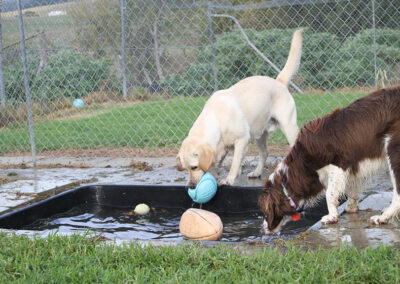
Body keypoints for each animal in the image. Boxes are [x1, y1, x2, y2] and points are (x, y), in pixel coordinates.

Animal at [177, 30, 302, 187]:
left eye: (194, 167)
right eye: (185, 168)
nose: (190, 186)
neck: (216, 119)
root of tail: (279, 81)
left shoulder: (242, 140)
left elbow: (235, 163)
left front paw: (229, 179)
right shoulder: (222, 148)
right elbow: (218, 163)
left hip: (288, 127)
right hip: (260, 134)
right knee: (264, 153)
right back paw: (257, 172)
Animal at [258, 86, 400, 233]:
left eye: (265, 212)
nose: (261, 230)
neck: (302, 162)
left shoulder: (338, 164)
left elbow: (329, 194)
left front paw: (331, 216)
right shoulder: (353, 165)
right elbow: (352, 188)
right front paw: (351, 207)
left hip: (393, 150)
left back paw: (383, 217)